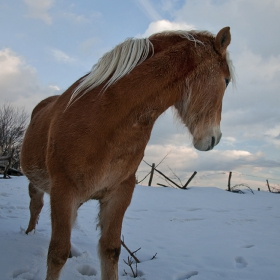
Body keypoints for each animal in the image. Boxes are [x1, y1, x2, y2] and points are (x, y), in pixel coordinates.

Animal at [20, 26, 234, 280]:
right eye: (227, 80)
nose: (214, 138)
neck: (105, 118)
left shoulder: (120, 192)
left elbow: (110, 250)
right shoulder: (63, 191)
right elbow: (57, 253)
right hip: (38, 183)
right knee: (35, 206)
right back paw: (28, 235)